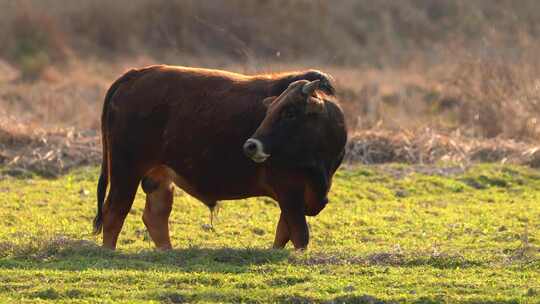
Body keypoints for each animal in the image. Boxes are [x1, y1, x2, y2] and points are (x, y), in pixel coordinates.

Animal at [93, 65, 346, 251]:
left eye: (289, 112)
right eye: (269, 111)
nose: (251, 146)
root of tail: (136, 74)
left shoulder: (296, 196)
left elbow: (283, 234)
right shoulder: (289, 191)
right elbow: (299, 235)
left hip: (158, 176)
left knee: (155, 216)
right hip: (125, 172)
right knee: (114, 212)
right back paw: (109, 251)